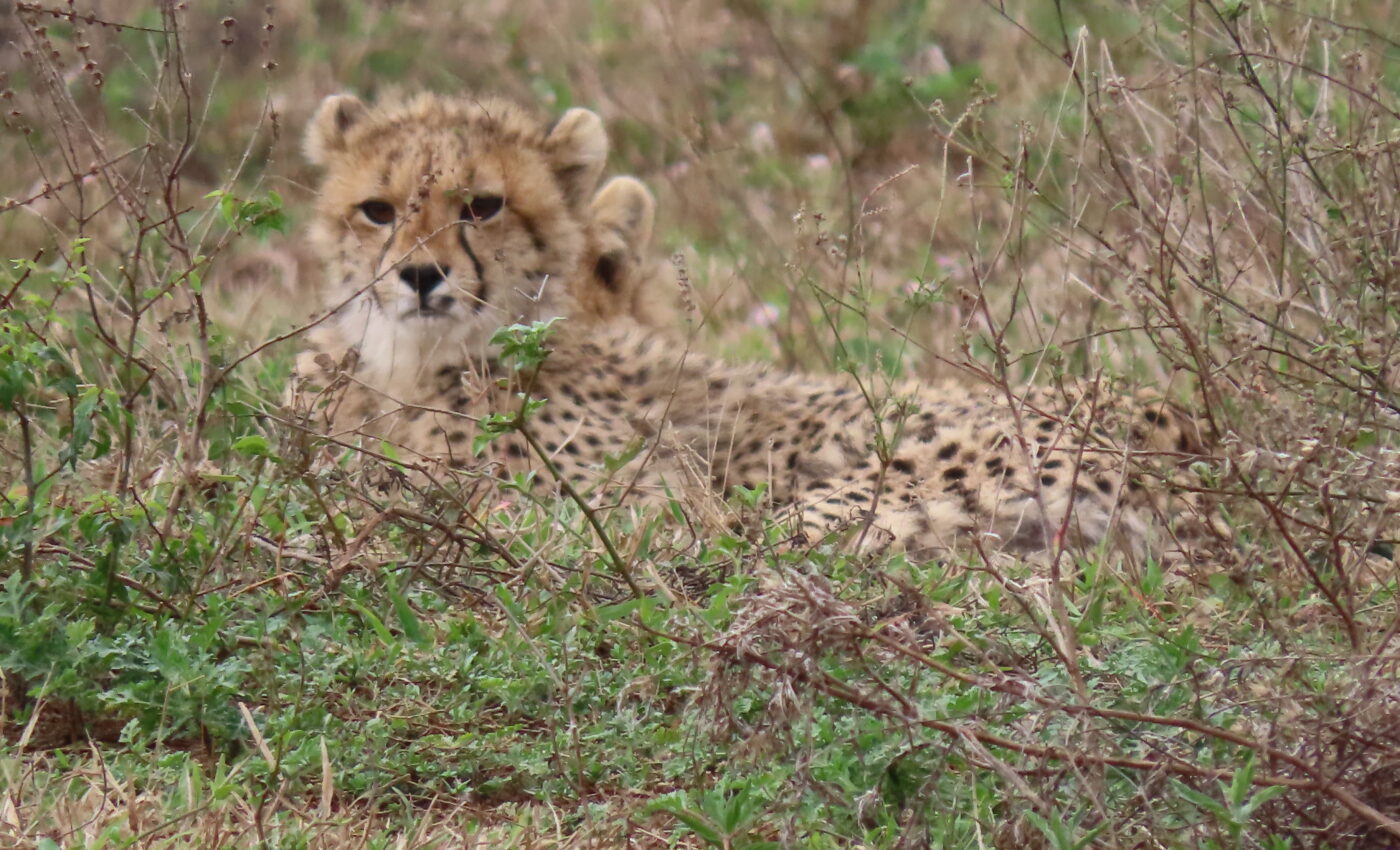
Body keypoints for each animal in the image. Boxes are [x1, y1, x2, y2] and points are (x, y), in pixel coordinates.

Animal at [291, 91, 1206, 560]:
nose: (420, 276)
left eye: (483, 206)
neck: (409, 363)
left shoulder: (630, 501)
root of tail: (1190, 432)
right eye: (377, 211)